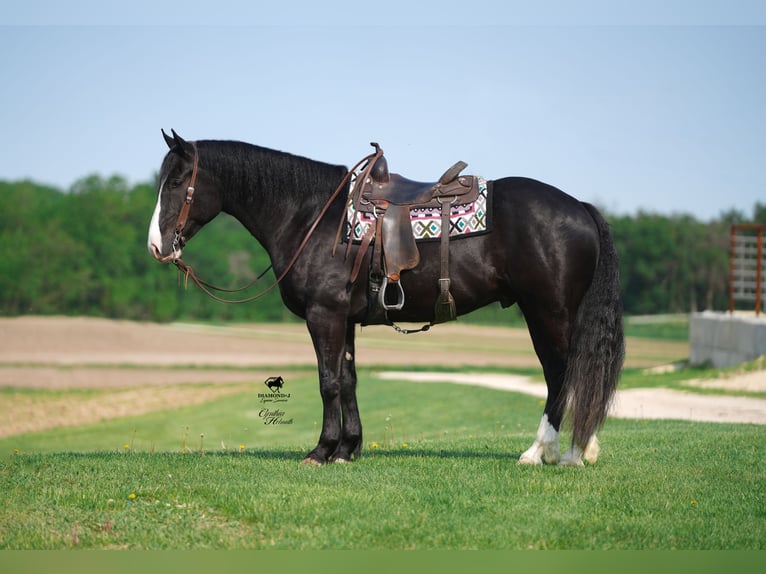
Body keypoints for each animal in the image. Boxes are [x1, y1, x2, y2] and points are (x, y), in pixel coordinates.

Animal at [147, 130, 624, 467]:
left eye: (177, 180)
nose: (156, 245)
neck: (311, 215)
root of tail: (580, 207)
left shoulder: (323, 315)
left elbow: (328, 382)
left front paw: (321, 451)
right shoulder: (344, 319)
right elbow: (349, 380)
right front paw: (347, 449)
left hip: (547, 312)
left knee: (561, 374)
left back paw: (545, 451)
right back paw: (578, 450)